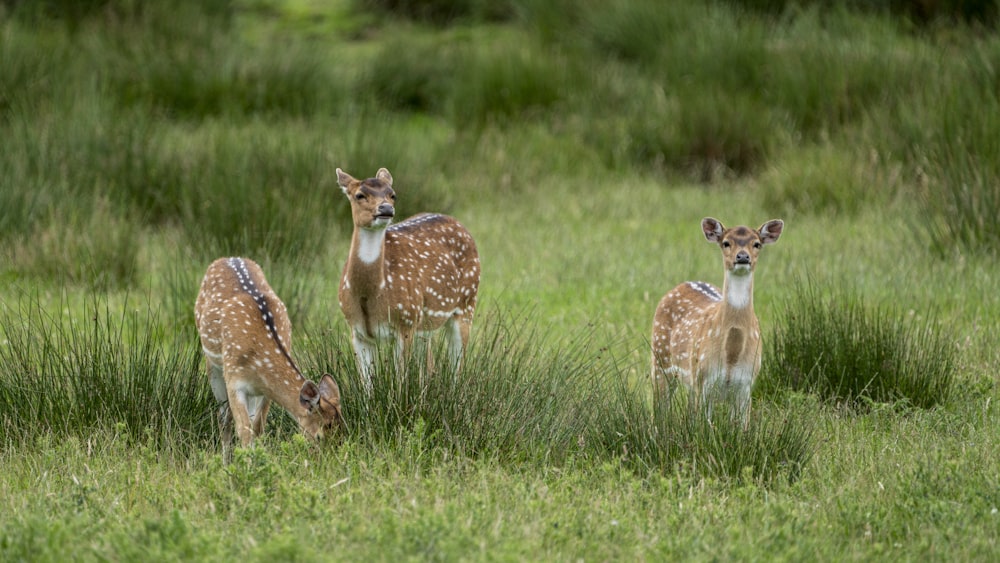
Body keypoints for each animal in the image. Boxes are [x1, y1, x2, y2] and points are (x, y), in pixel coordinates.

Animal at [195, 256, 344, 458]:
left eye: (343, 428)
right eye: (319, 436)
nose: (330, 459)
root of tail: (227, 258)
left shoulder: (265, 392)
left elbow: (257, 427)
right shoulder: (234, 380)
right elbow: (244, 430)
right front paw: (248, 463)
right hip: (213, 365)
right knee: (223, 417)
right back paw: (226, 459)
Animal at [338, 167, 482, 394]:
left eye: (392, 194)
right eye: (360, 195)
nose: (386, 208)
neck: (371, 294)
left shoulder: (405, 321)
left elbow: (401, 380)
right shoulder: (355, 328)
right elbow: (367, 387)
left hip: (467, 302)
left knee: (457, 366)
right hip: (425, 324)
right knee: (429, 365)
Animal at [652, 218, 784, 426]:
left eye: (757, 244)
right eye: (726, 243)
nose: (742, 257)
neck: (731, 354)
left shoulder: (746, 383)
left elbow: (742, 428)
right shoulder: (704, 379)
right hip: (660, 359)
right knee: (658, 411)